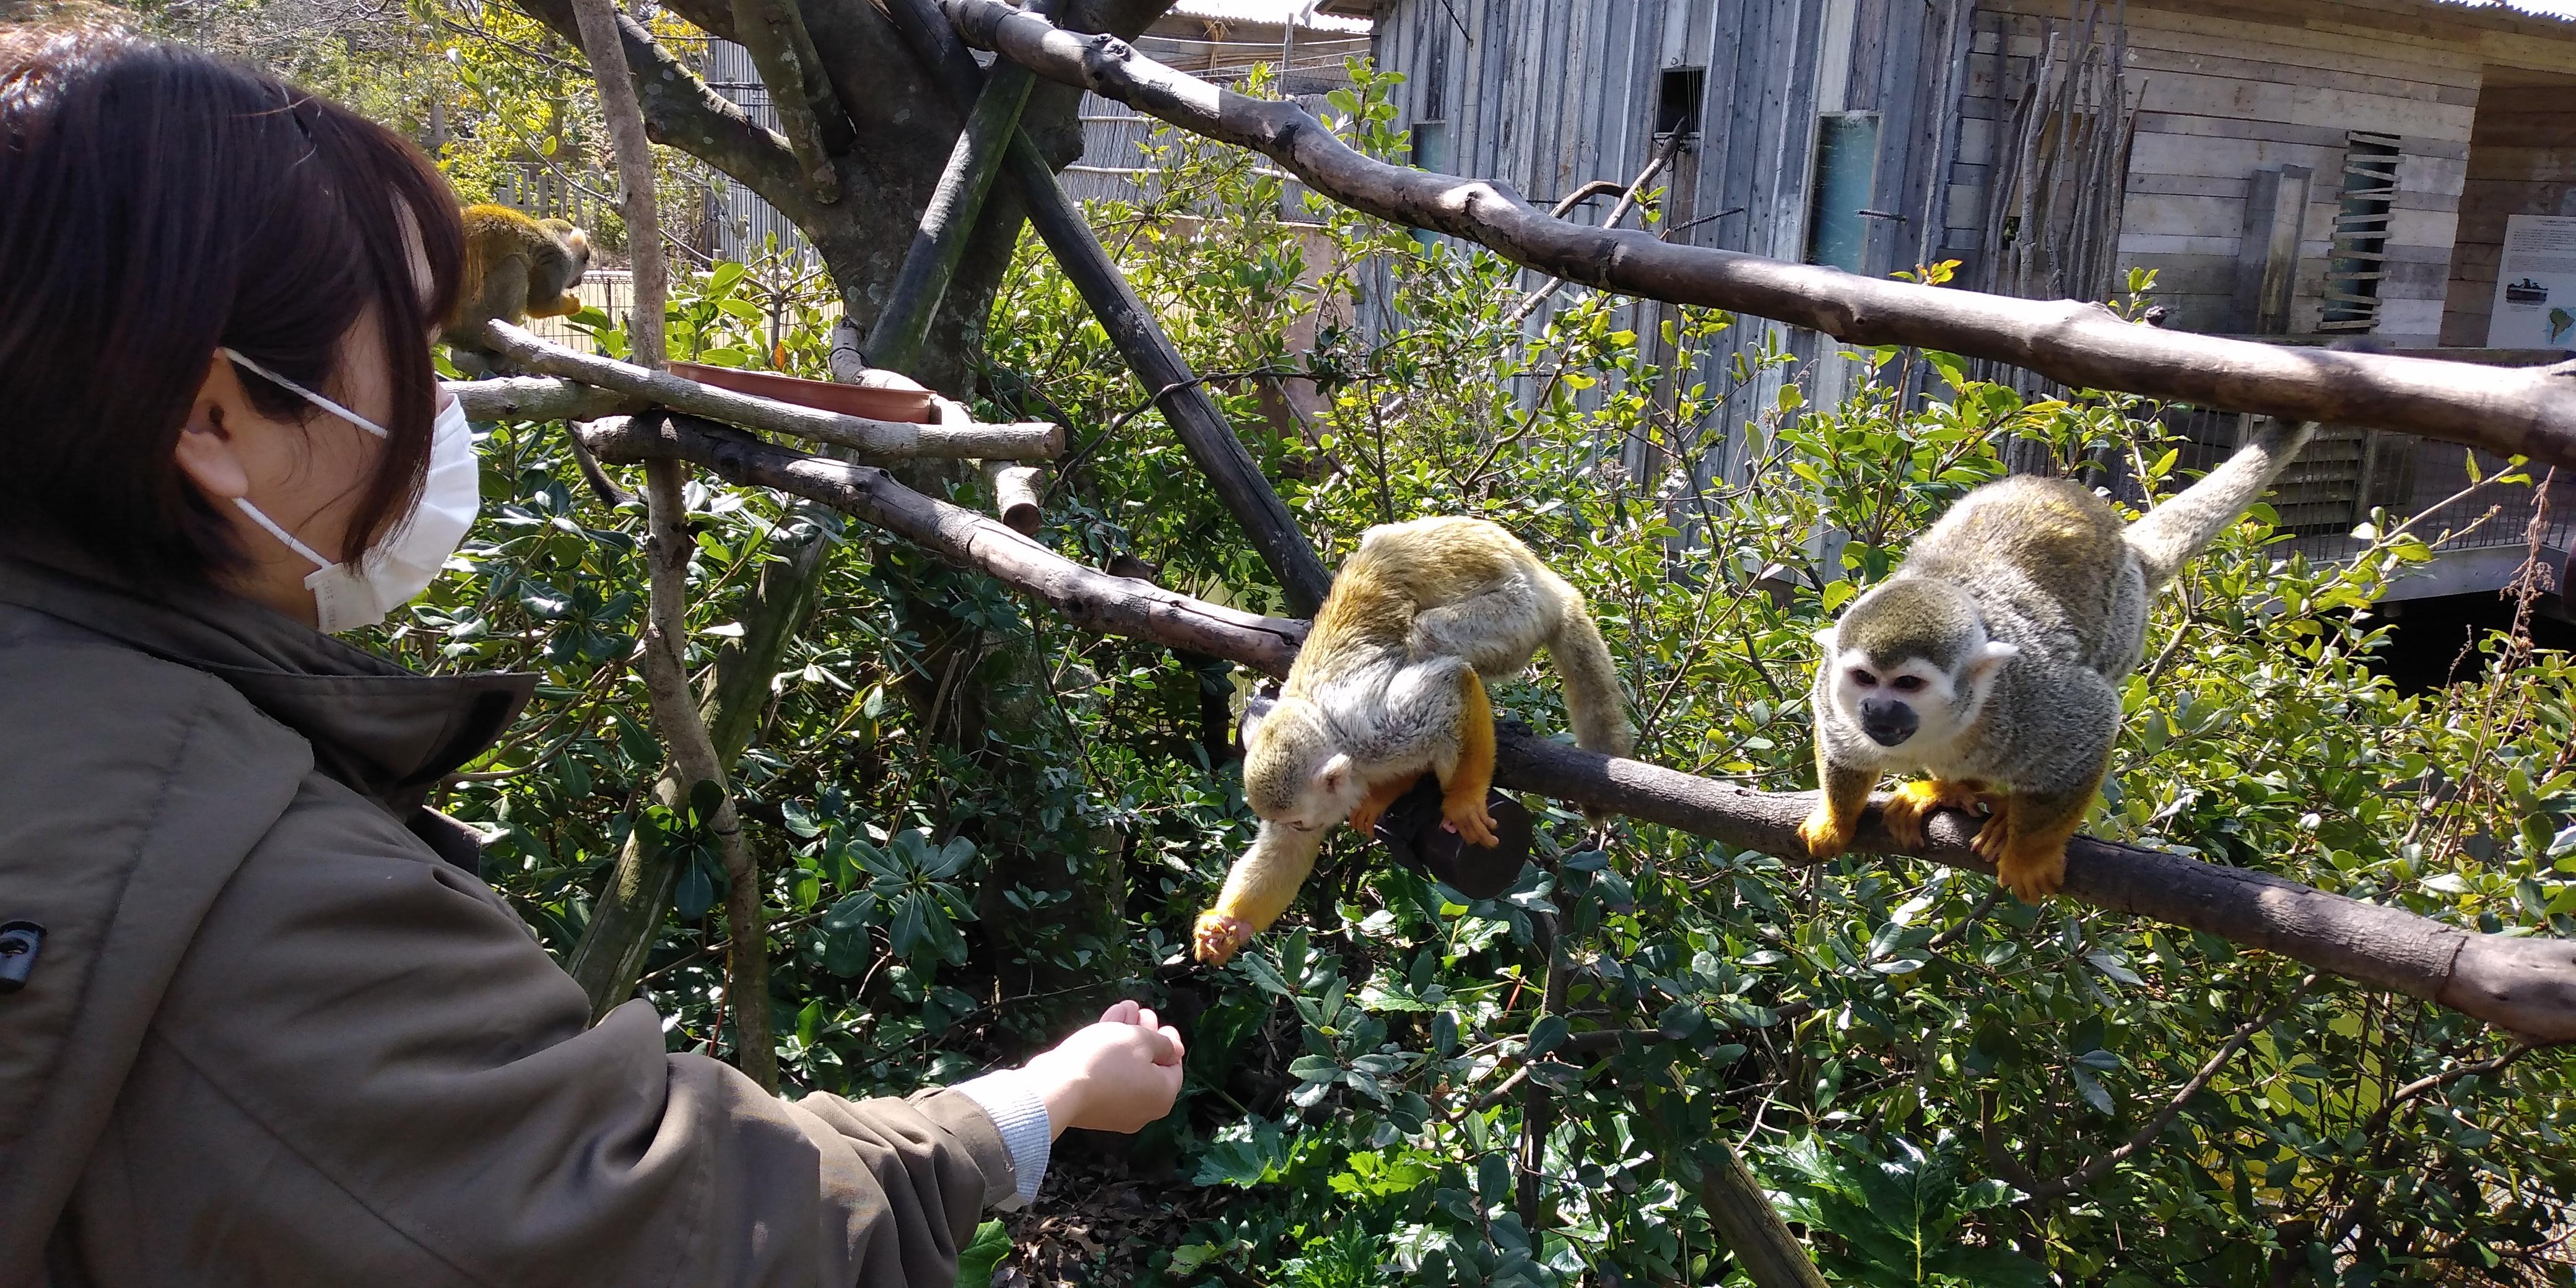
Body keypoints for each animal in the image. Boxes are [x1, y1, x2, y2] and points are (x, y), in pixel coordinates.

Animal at [451, 203, 600, 360]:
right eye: (585, 261)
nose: (579, 281)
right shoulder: (559, 258)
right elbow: (539, 305)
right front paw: (576, 305)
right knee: (515, 267)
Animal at [1185, 515, 1628, 968]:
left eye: (1299, 820)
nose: (1300, 826)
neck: (1346, 752)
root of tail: (1551, 585)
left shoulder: (1374, 733)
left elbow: (1451, 686)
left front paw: (1462, 801)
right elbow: (1286, 854)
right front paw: (1228, 926)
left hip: (1518, 613)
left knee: (1430, 637)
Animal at [1803, 417, 2328, 902]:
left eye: (1909, 684)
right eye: (1864, 678)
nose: (1877, 710)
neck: (1941, 730)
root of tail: (2129, 548)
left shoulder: (2029, 702)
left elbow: (2092, 723)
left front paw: (2029, 852)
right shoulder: (1832, 695)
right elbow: (1840, 747)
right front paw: (1836, 818)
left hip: (2124, 619)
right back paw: (1952, 789)